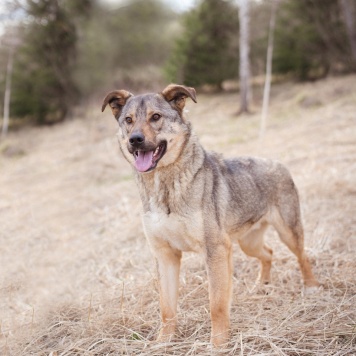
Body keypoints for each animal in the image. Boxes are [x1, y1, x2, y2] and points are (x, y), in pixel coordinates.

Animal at [101, 82, 320, 344]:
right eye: (129, 120)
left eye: (156, 117)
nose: (135, 140)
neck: (165, 185)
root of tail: (277, 163)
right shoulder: (165, 256)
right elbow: (167, 307)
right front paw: (164, 342)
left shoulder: (215, 251)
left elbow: (216, 304)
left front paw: (218, 344)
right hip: (248, 243)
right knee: (268, 253)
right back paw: (262, 285)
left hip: (288, 232)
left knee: (302, 256)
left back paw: (311, 286)